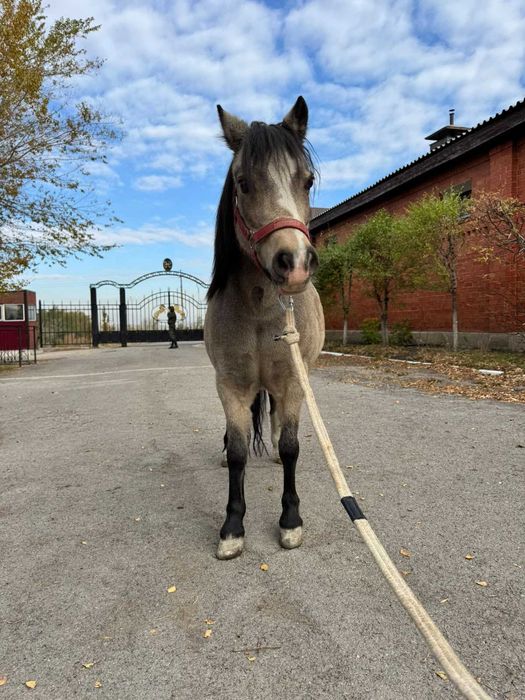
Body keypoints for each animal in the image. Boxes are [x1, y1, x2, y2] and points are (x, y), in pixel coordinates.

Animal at [204, 96, 325, 560]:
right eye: (242, 182)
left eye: (307, 181)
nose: (295, 264)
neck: (259, 309)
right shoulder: (231, 385)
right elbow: (239, 452)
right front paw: (232, 527)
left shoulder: (292, 381)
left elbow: (291, 447)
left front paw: (290, 520)